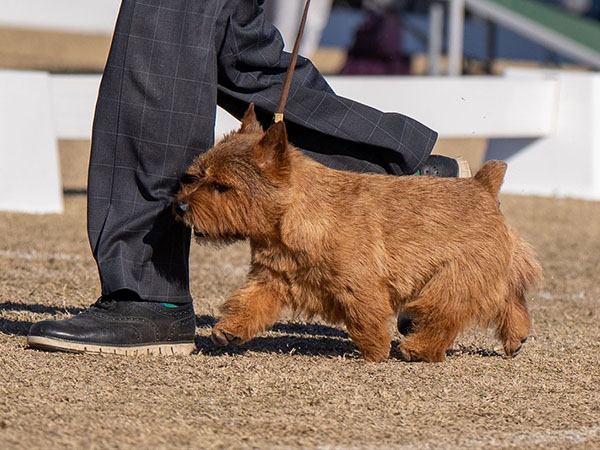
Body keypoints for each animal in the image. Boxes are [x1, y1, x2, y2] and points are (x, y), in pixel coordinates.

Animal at [173, 104, 544, 362]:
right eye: (196, 176)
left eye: (223, 186)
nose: (179, 207)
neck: (290, 221)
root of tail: (482, 184)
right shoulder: (272, 277)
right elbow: (249, 303)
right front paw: (229, 331)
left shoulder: (359, 283)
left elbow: (364, 316)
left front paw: (374, 352)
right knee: (510, 299)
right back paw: (515, 338)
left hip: (457, 276)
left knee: (446, 313)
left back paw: (419, 349)